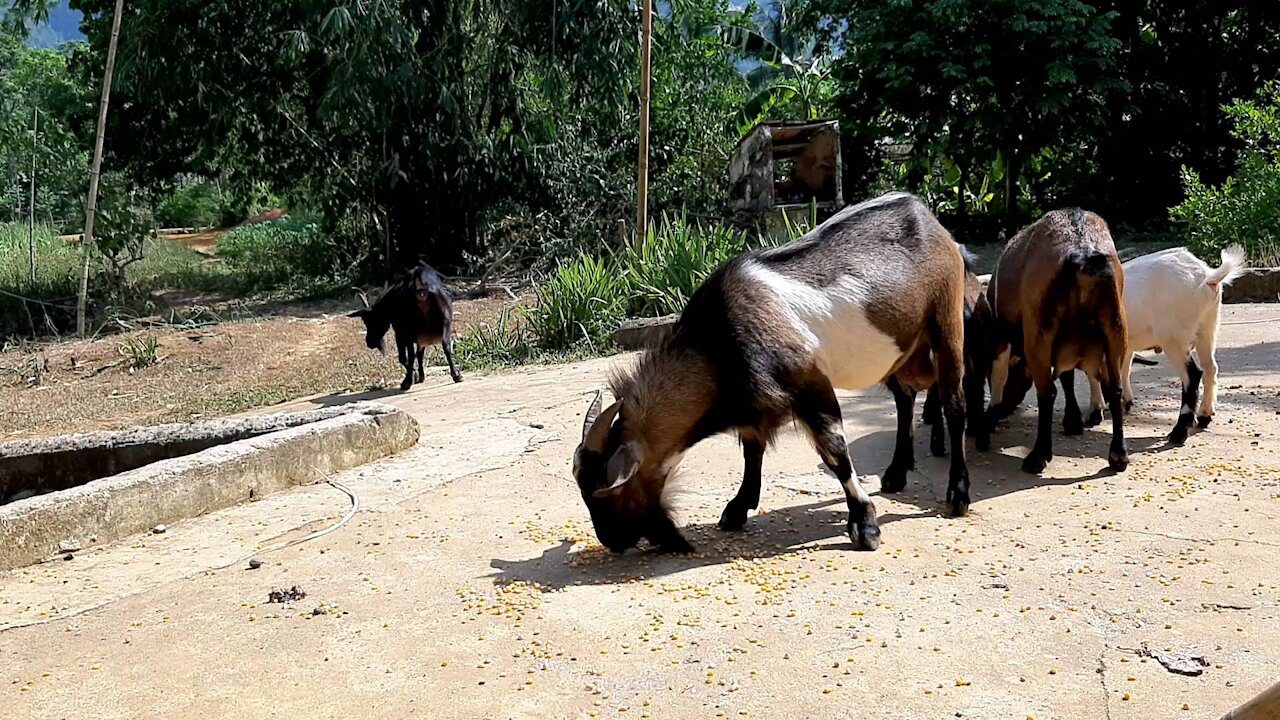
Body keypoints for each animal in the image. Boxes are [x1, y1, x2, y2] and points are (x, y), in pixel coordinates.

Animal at [350, 260, 465, 389]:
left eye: (370, 321)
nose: (370, 342)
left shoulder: (400, 332)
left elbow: (404, 357)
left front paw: (414, 375)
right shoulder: (421, 337)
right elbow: (420, 354)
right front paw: (420, 376)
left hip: (410, 330)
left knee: (410, 355)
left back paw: (407, 382)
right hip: (445, 323)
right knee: (446, 347)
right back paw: (456, 375)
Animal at [576, 189, 962, 548]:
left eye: (608, 492)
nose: (612, 541)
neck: (717, 344)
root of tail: (923, 212)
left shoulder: (809, 383)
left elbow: (835, 452)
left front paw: (865, 526)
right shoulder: (754, 404)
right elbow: (753, 451)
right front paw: (737, 508)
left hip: (946, 321)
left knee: (953, 401)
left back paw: (957, 494)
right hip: (903, 353)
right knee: (905, 395)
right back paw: (896, 473)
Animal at [983, 207, 1126, 474]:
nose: (1008, 407)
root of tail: (1082, 251)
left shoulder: (1003, 337)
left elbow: (999, 375)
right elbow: (1068, 377)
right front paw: (1073, 421)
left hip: (1038, 333)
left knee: (1047, 391)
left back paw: (1038, 456)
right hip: (1115, 326)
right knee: (1115, 387)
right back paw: (1118, 454)